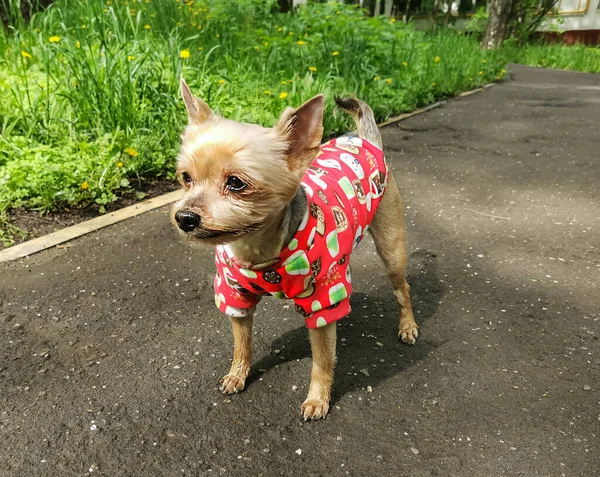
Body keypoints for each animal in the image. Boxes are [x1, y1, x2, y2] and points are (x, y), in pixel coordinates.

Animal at [173, 79, 418, 420]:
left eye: (236, 183)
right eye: (186, 178)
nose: (184, 218)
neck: (257, 249)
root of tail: (367, 142)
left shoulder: (321, 298)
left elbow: (323, 360)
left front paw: (318, 398)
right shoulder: (234, 294)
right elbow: (241, 342)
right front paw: (238, 374)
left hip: (391, 245)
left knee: (401, 288)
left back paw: (408, 326)